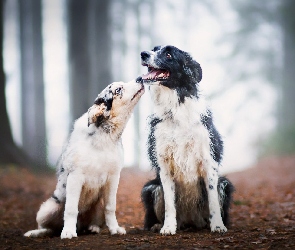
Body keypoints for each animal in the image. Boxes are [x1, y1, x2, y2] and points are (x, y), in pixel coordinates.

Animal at [24, 80, 145, 238]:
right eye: (118, 89)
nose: (140, 78)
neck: (104, 136)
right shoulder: (75, 176)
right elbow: (71, 209)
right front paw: (68, 232)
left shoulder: (113, 177)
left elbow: (110, 207)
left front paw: (115, 229)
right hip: (47, 208)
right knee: (50, 228)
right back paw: (36, 232)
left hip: (97, 205)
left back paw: (92, 228)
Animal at [139, 45, 236, 234]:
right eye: (154, 49)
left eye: (169, 54)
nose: (143, 54)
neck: (175, 109)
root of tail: (191, 221)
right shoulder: (164, 164)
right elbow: (170, 203)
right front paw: (168, 228)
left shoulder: (208, 160)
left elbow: (213, 200)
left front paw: (218, 226)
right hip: (151, 188)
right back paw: (157, 225)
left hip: (225, 184)